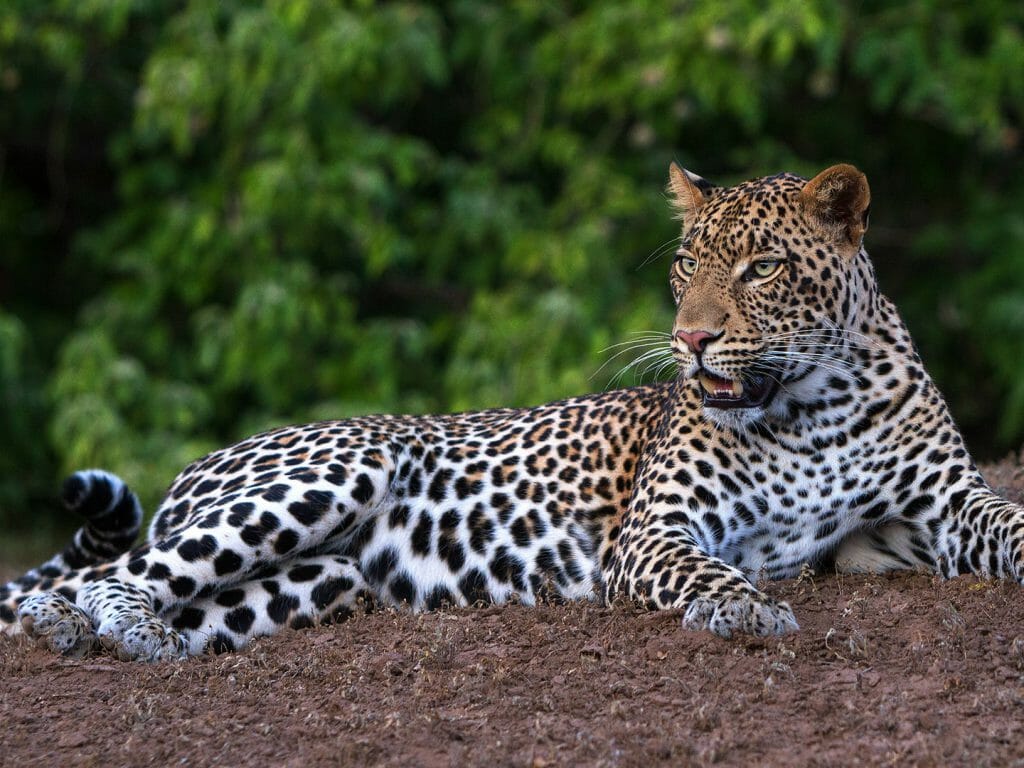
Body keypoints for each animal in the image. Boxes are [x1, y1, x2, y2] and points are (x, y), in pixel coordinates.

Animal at [4, 161, 1023, 663]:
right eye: (686, 264)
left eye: (762, 268)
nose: (690, 340)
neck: (814, 405)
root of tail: (199, 466)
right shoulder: (656, 532)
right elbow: (709, 572)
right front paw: (750, 612)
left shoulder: (942, 508)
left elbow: (1010, 522)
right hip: (333, 470)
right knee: (101, 578)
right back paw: (104, 628)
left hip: (318, 581)